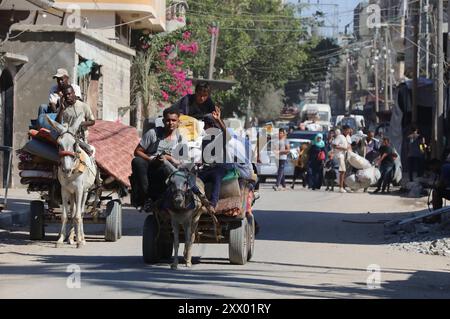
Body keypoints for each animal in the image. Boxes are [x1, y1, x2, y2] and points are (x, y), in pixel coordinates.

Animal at [47, 116, 96, 249]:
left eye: (75, 144)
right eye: (59, 144)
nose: (66, 170)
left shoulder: (79, 189)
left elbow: (78, 216)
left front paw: (79, 241)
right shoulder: (64, 190)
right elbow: (65, 216)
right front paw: (60, 240)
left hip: (85, 192)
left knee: (81, 212)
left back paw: (81, 238)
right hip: (72, 193)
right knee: (73, 211)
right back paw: (70, 238)